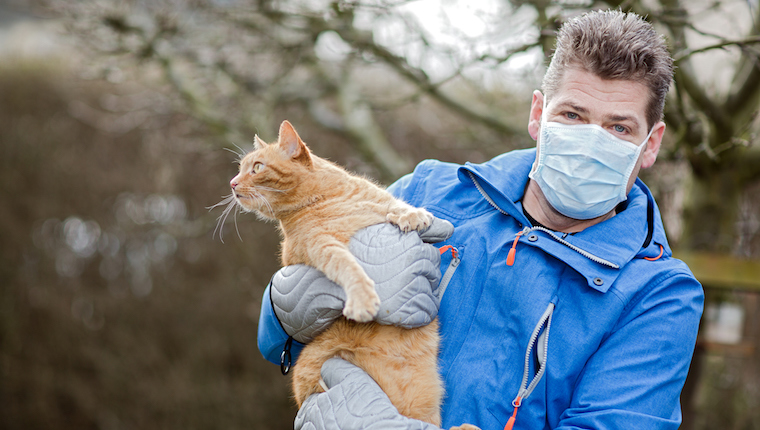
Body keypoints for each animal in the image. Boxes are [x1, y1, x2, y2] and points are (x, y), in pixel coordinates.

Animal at [223, 119, 478, 428]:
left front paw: (414, 215)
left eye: (256, 167)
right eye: (240, 169)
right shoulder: (320, 246)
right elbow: (349, 266)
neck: (327, 197)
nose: (233, 183)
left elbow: (397, 205)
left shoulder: (381, 202)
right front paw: (363, 298)